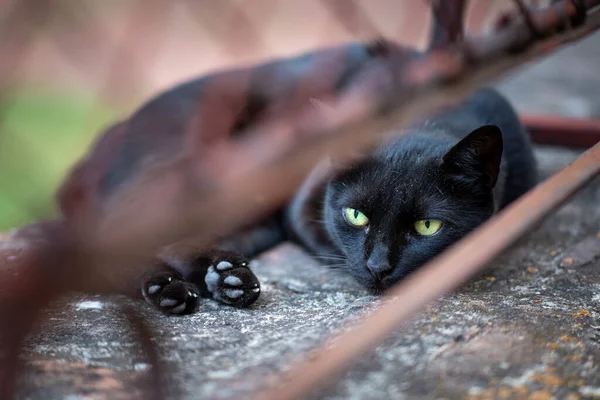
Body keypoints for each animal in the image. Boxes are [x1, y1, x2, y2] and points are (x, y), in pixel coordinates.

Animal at [58, 41, 536, 316]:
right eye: (356, 216)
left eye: (427, 225)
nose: (379, 266)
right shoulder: (305, 208)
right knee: (107, 240)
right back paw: (171, 291)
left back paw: (226, 278)